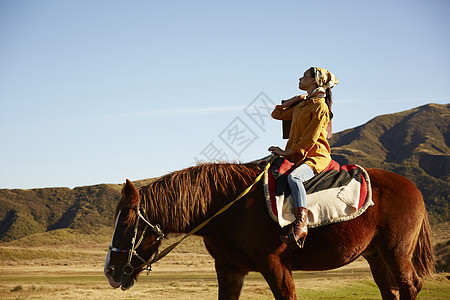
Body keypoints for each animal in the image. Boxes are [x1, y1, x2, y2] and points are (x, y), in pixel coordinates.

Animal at [103, 162, 434, 300]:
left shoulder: (274, 264)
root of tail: (414, 187)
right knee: (391, 290)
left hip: (396, 252)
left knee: (410, 286)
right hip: (376, 256)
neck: (228, 206)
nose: (110, 271)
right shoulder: (229, 269)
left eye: (126, 223)